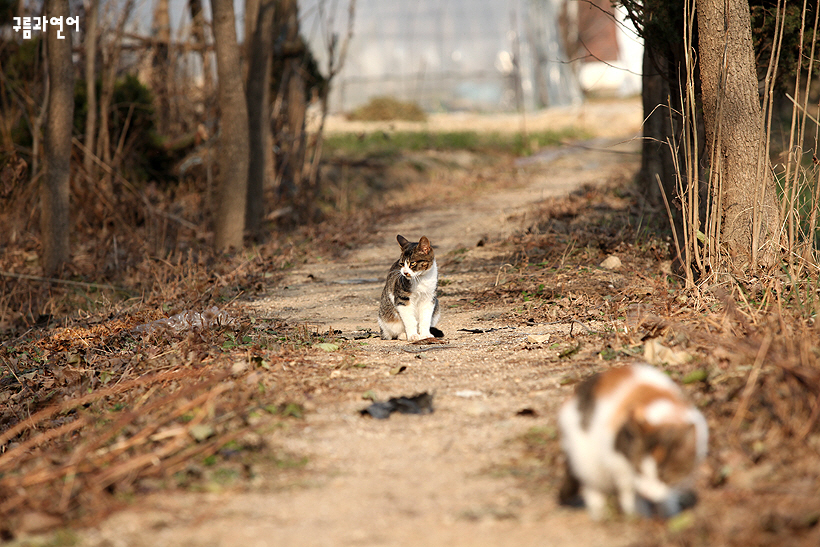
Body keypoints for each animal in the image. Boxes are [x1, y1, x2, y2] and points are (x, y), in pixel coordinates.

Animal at [556, 366, 712, 520]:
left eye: (663, 476)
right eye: (639, 470)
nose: (648, 493)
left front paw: (669, 513)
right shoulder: (617, 462)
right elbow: (629, 489)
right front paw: (638, 515)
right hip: (586, 460)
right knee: (591, 487)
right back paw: (601, 514)